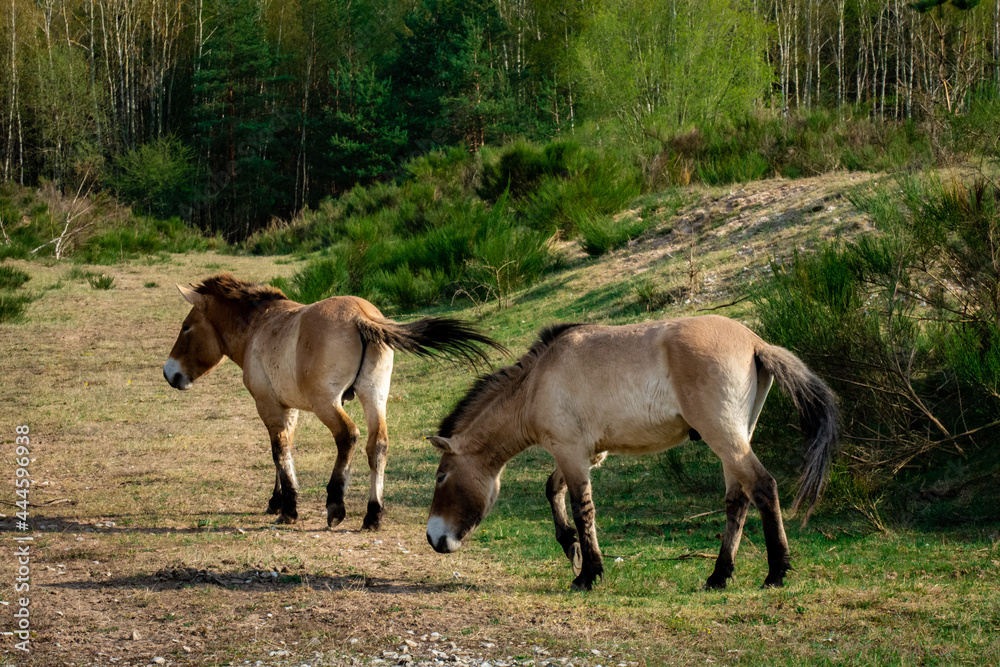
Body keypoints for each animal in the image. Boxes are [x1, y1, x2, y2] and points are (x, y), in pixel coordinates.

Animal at [166, 274, 508, 528]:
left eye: (186, 327)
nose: (170, 373)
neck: (259, 326)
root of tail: (362, 316)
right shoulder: (289, 408)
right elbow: (284, 450)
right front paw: (278, 500)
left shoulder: (269, 405)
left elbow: (279, 451)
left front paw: (288, 509)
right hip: (374, 397)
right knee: (377, 445)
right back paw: (373, 514)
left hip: (328, 404)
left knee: (348, 436)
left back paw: (335, 505)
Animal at [426, 316, 840, 592]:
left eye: (441, 476)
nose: (433, 539)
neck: (537, 381)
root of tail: (755, 343)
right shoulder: (585, 453)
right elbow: (553, 490)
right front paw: (571, 548)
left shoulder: (570, 452)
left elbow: (582, 507)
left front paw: (588, 574)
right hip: (735, 438)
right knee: (737, 501)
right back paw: (719, 576)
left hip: (724, 437)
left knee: (763, 487)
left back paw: (776, 572)